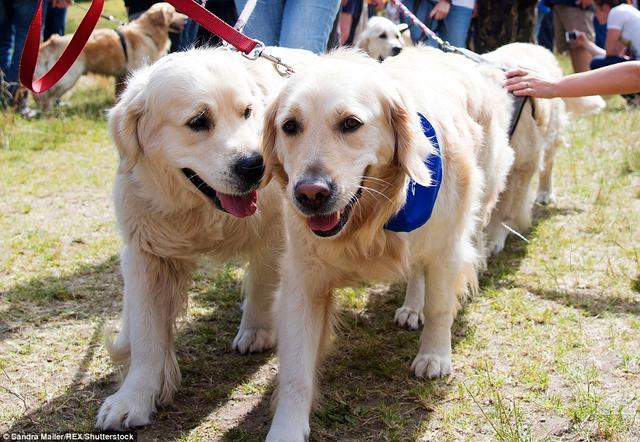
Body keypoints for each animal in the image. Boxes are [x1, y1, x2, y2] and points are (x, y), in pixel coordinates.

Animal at [33, 3, 186, 112]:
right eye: (173, 12)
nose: (186, 19)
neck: (147, 31)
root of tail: (55, 40)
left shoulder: (121, 75)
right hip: (69, 77)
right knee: (47, 96)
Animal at [262, 46, 516, 440]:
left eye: (350, 123)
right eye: (290, 126)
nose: (310, 194)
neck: (373, 217)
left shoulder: (445, 248)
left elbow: (440, 307)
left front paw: (434, 355)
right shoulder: (303, 278)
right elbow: (295, 370)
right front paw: (286, 428)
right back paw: (412, 307)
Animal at [482, 43, 604, 256]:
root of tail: (533, 44)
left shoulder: (522, 164)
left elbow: (504, 208)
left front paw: (493, 238)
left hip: (550, 136)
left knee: (547, 167)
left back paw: (545, 193)